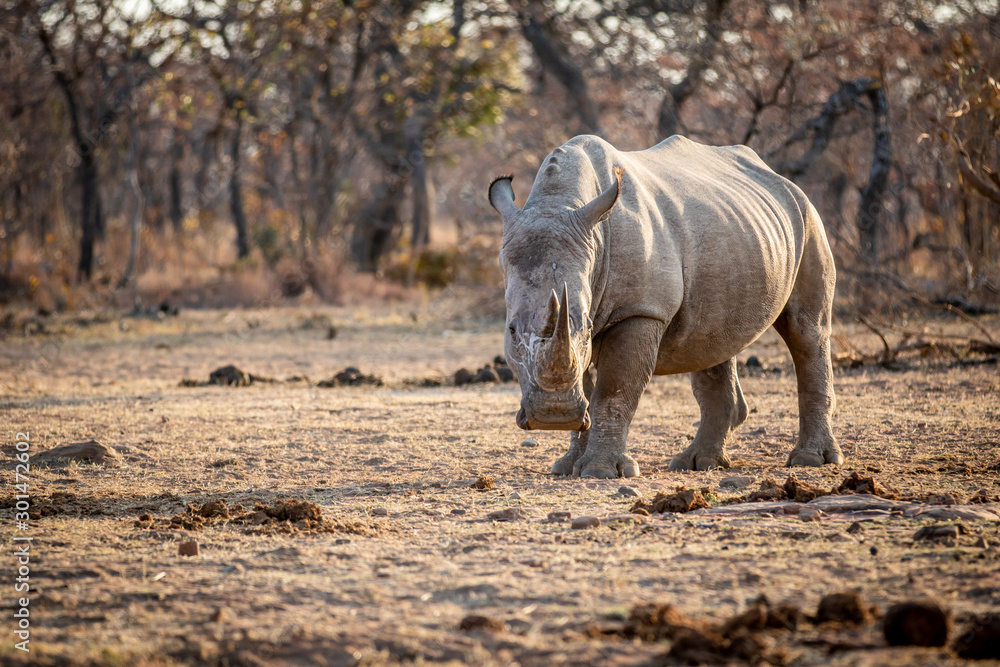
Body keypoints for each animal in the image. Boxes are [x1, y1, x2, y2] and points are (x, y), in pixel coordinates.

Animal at [488, 134, 840, 478]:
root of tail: (779, 178)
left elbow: (614, 390)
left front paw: (599, 471)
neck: (560, 203)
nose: (553, 415)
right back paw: (699, 463)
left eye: (586, 325)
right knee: (712, 340)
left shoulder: (641, 310)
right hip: (736, 231)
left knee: (806, 331)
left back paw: (809, 460)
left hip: (808, 218)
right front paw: (566, 466)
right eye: (511, 330)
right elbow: (586, 386)